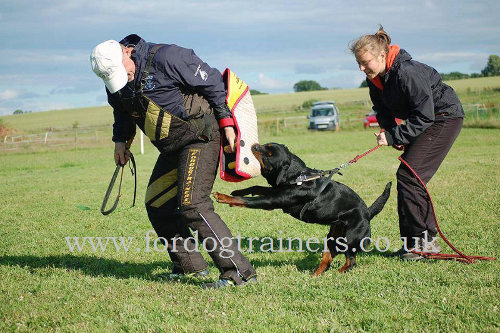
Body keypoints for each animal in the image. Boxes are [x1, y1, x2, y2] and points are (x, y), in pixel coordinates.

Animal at [213, 142, 392, 272]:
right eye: (266, 145)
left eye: (268, 155)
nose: (255, 145)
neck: (297, 177)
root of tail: (367, 213)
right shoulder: (276, 191)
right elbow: (256, 187)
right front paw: (238, 190)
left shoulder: (271, 200)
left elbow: (245, 200)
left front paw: (223, 197)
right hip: (332, 236)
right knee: (327, 259)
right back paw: (315, 275)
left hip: (349, 239)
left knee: (351, 261)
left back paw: (339, 272)